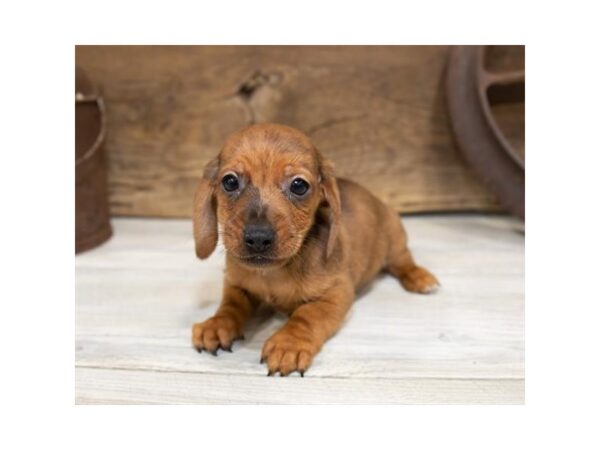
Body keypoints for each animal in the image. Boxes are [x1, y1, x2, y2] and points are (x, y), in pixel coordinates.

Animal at [195, 122, 438, 376]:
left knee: (403, 261)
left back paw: (420, 278)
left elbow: (307, 314)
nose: (258, 238)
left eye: (299, 185)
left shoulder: (336, 293)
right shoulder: (236, 284)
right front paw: (218, 324)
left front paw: (289, 344)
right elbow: (231, 305)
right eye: (230, 182)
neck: (273, 274)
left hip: (395, 238)